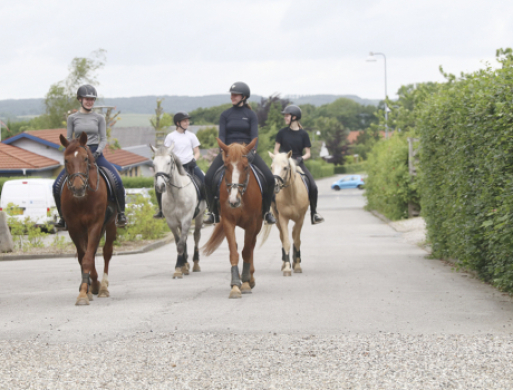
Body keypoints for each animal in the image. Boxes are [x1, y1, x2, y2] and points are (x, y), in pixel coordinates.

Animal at [59, 133, 116, 306]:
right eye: (66, 160)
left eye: (85, 158)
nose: (78, 188)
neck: (83, 199)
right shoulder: (74, 228)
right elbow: (83, 257)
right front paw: (87, 289)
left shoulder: (95, 224)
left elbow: (88, 258)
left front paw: (86, 293)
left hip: (110, 224)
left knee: (106, 252)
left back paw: (103, 287)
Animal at [150, 145, 206, 278]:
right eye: (154, 164)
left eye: (169, 162)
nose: (160, 186)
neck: (175, 194)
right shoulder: (171, 221)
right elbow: (178, 242)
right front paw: (180, 267)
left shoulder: (186, 219)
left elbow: (180, 244)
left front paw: (178, 270)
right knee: (184, 239)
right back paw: (186, 265)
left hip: (199, 217)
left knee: (196, 237)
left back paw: (196, 265)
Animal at [201, 137, 270, 298]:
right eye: (226, 167)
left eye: (245, 167)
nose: (233, 201)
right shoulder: (228, 222)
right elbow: (234, 252)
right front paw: (235, 286)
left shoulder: (252, 224)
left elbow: (246, 252)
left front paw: (245, 283)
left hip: (257, 225)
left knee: (251, 247)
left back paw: (250, 278)